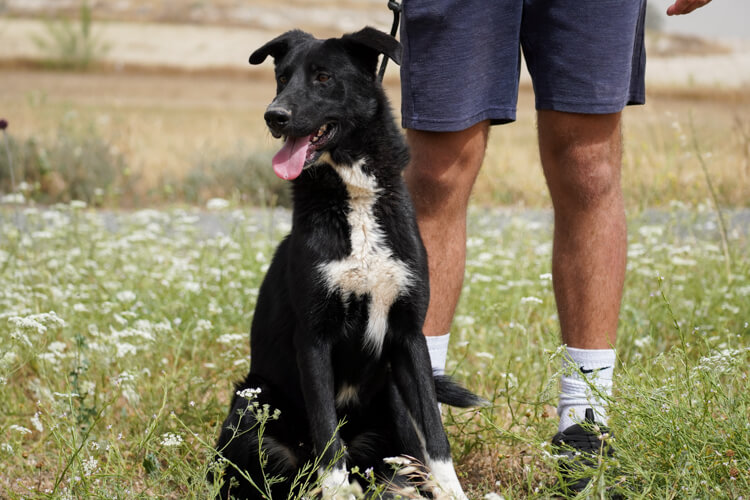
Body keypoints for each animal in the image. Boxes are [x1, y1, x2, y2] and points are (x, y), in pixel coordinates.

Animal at [214, 28, 484, 500]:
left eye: (323, 77)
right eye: (281, 78)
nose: (274, 116)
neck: (353, 199)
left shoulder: (409, 335)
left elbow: (435, 434)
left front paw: (452, 491)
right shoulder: (313, 339)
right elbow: (328, 435)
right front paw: (338, 491)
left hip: (390, 402)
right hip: (252, 401)